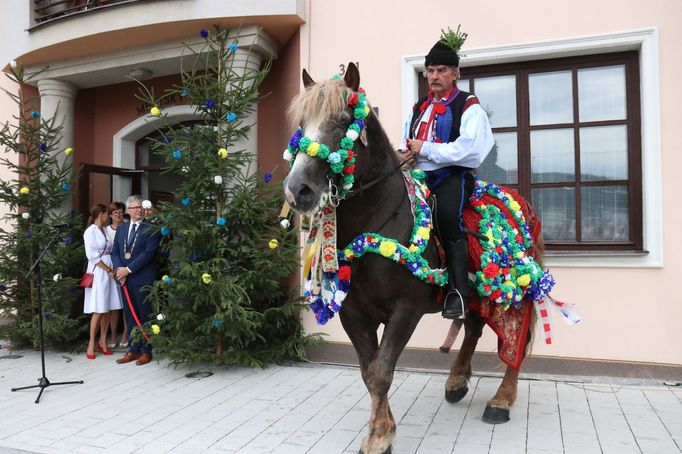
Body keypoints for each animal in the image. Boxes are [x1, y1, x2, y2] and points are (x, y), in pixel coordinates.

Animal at [282, 63, 540, 454]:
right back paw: (457, 382)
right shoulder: (354, 314)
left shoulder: (406, 310)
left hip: (516, 291)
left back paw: (501, 400)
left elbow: (381, 371)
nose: (298, 190)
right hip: (478, 293)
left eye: (343, 120)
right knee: (474, 328)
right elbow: (369, 372)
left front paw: (378, 437)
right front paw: (384, 429)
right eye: (301, 124)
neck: (376, 219)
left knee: (517, 338)